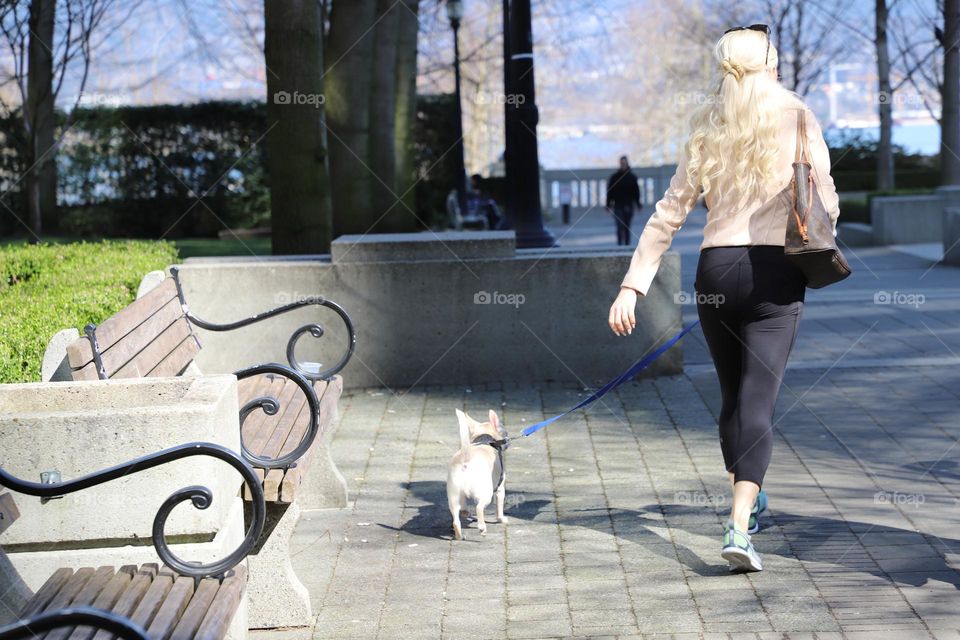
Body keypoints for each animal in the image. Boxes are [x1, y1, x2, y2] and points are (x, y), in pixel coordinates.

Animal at [448, 410, 510, 540]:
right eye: (505, 432)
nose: (508, 439)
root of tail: (465, 459)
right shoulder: (500, 488)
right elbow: (499, 507)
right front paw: (501, 519)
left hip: (453, 496)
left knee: (456, 518)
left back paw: (459, 533)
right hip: (486, 493)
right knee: (479, 507)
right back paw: (482, 528)